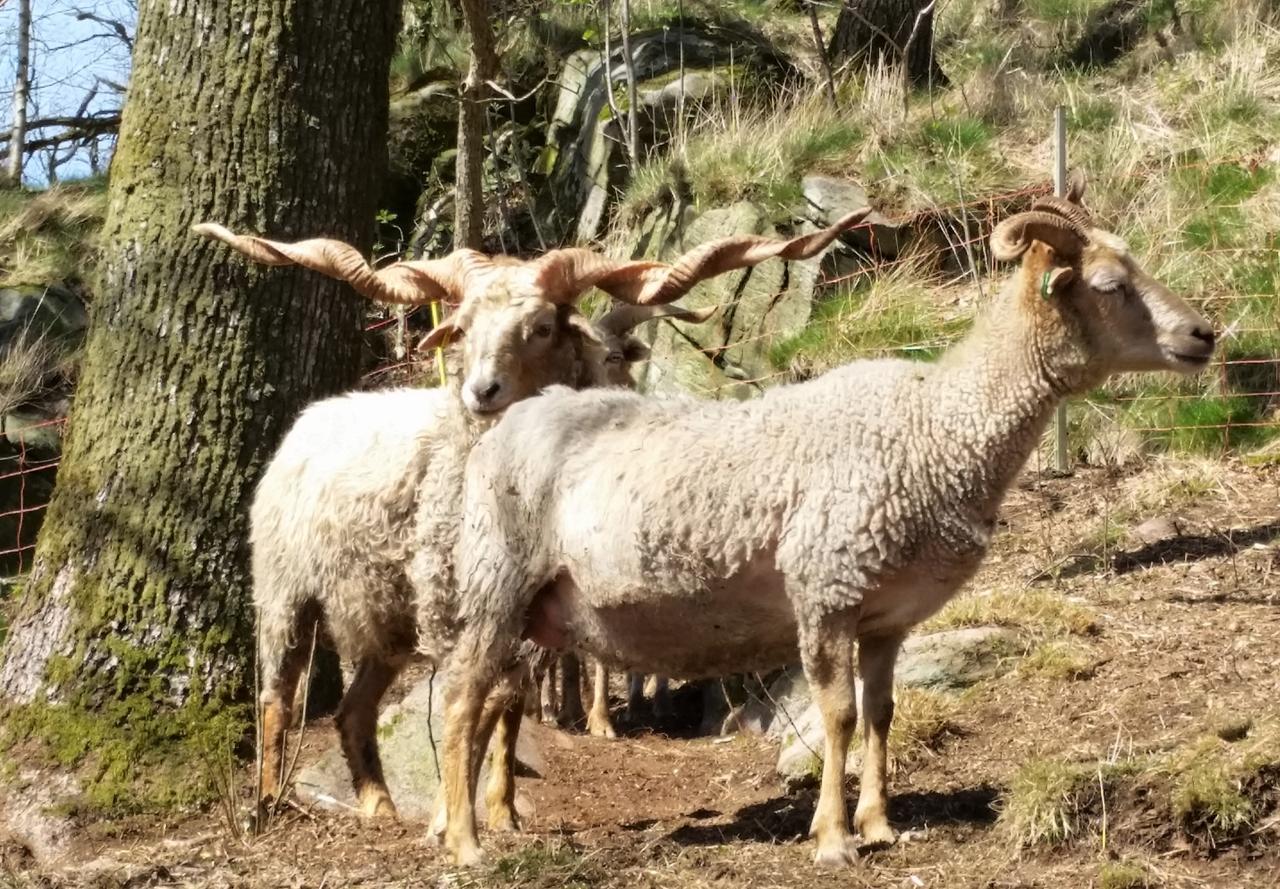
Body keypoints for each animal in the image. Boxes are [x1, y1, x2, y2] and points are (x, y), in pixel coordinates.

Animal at [432, 177, 1218, 864]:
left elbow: (880, 713)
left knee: (489, 697)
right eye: (1110, 285)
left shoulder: (886, 617)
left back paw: (474, 822)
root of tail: (506, 422)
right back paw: (466, 843)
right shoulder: (826, 589)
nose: (1206, 333)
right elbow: (836, 713)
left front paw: (877, 824)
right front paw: (836, 838)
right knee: (462, 699)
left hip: (529, 605)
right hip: (497, 582)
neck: (938, 427)